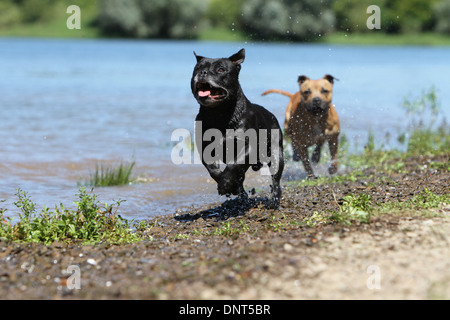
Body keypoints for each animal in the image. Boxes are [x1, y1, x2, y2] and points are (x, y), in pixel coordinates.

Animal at [191, 47, 284, 208]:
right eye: (197, 68)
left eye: (221, 69)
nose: (202, 73)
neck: (219, 114)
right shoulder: (205, 149)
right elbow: (213, 170)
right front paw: (227, 185)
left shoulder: (249, 147)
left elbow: (235, 164)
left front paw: (225, 183)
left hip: (276, 154)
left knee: (276, 180)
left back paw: (274, 200)